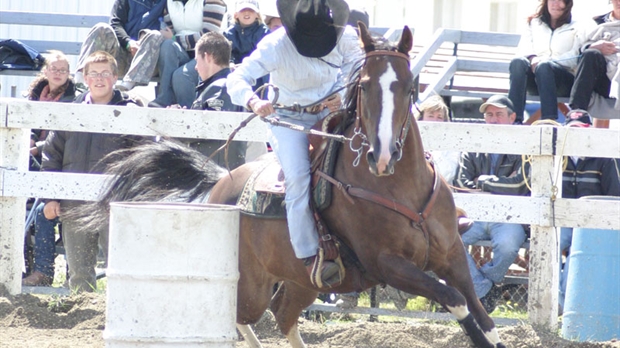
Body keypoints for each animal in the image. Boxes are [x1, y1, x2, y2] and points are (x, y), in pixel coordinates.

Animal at [78, 23, 504, 346]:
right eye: (365, 85)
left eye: (408, 84)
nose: (381, 156)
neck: (398, 189)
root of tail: (220, 183)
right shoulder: (388, 264)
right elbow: (456, 301)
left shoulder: (453, 256)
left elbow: (481, 316)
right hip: (250, 283)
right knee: (242, 317)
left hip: (302, 281)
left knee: (283, 316)